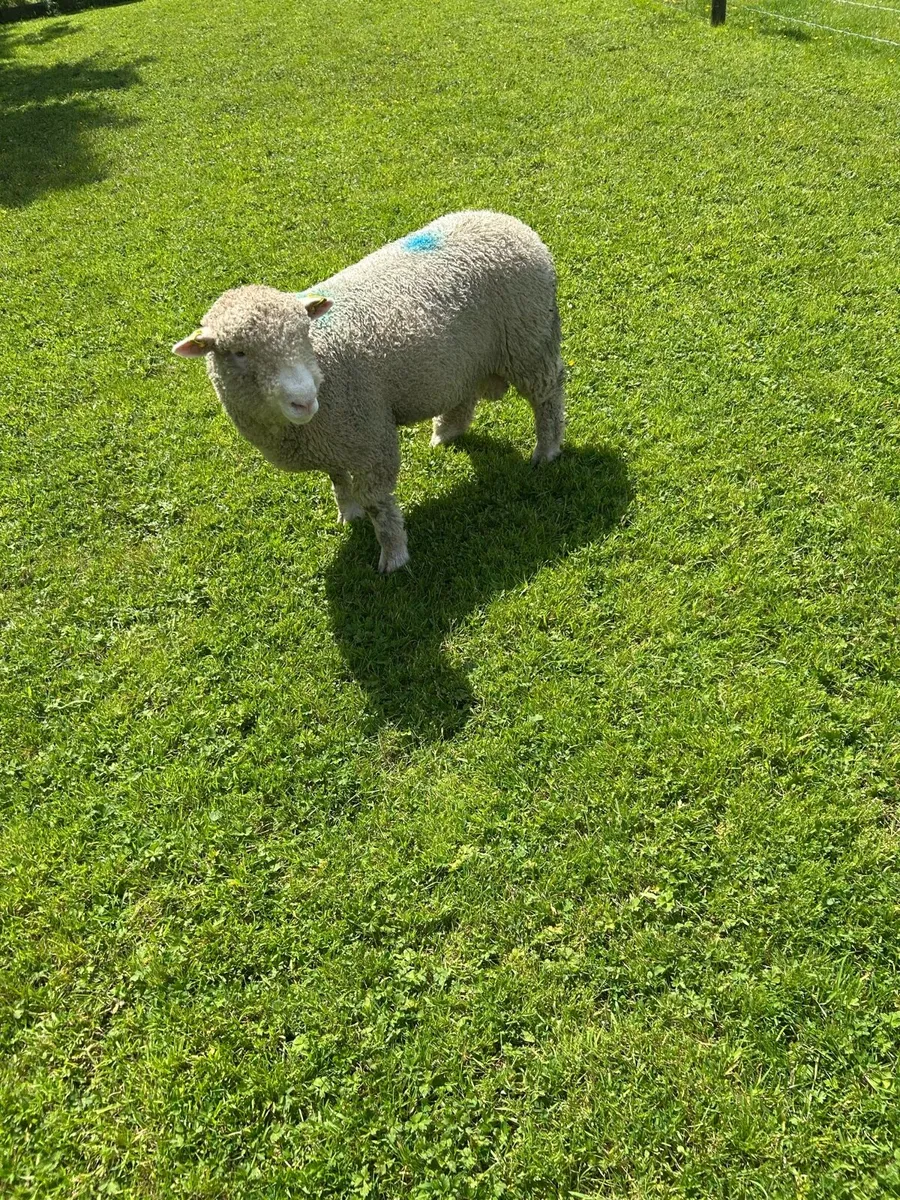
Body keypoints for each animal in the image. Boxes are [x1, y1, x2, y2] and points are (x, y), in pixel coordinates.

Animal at [172, 210, 565, 573]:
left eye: (304, 332)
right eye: (238, 353)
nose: (305, 399)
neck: (325, 360)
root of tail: (506, 221)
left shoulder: (370, 438)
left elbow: (378, 502)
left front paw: (393, 555)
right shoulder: (334, 441)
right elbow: (336, 479)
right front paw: (348, 512)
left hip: (529, 341)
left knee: (547, 393)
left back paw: (546, 449)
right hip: (464, 358)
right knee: (463, 393)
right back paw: (447, 432)